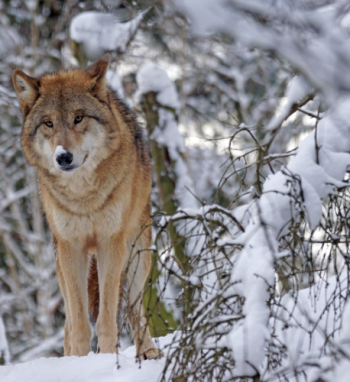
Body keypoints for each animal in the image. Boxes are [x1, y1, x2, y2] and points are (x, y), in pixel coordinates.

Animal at [11, 55, 163, 360]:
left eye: (78, 118)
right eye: (48, 123)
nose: (63, 157)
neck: (84, 197)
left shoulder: (110, 243)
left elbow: (106, 317)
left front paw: (106, 357)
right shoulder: (71, 248)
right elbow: (79, 322)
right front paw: (79, 361)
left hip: (138, 256)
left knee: (133, 308)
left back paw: (147, 350)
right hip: (60, 264)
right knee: (69, 322)